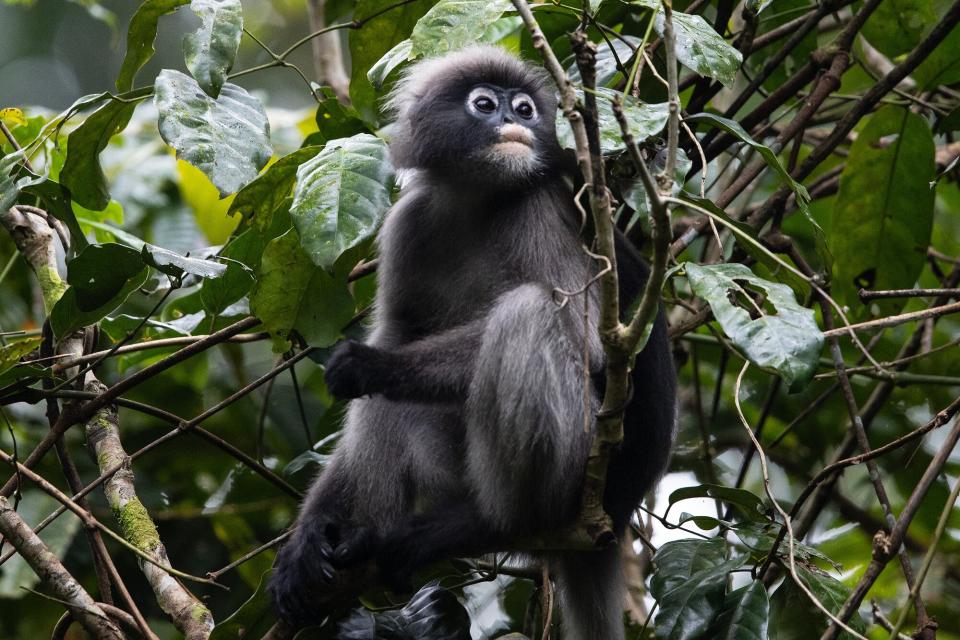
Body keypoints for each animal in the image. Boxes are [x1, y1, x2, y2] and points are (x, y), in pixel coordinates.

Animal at [266, 46, 680, 640]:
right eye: (485, 105)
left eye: (526, 108)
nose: (513, 120)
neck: (478, 200)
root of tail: (612, 519)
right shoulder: (406, 222)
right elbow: (398, 334)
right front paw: (308, 537)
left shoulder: (537, 206)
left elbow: (587, 341)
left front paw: (373, 365)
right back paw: (356, 542)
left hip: (577, 469)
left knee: (528, 312)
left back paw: (486, 523)